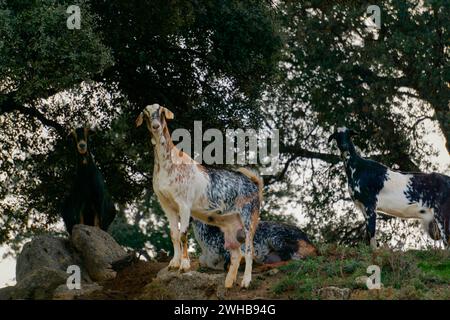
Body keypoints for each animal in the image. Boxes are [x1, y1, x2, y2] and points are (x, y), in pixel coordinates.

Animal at [137, 104, 264, 288]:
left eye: (161, 111)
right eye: (146, 113)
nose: (156, 126)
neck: (168, 163)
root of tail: (255, 184)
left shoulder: (184, 204)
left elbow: (183, 234)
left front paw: (184, 265)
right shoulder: (166, 204)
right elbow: (174, 234)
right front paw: (173, 263)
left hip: (249, 218)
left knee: (248, 249)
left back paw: (246, 281)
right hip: (230, 225)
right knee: (236, 253)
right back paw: (228, 283)